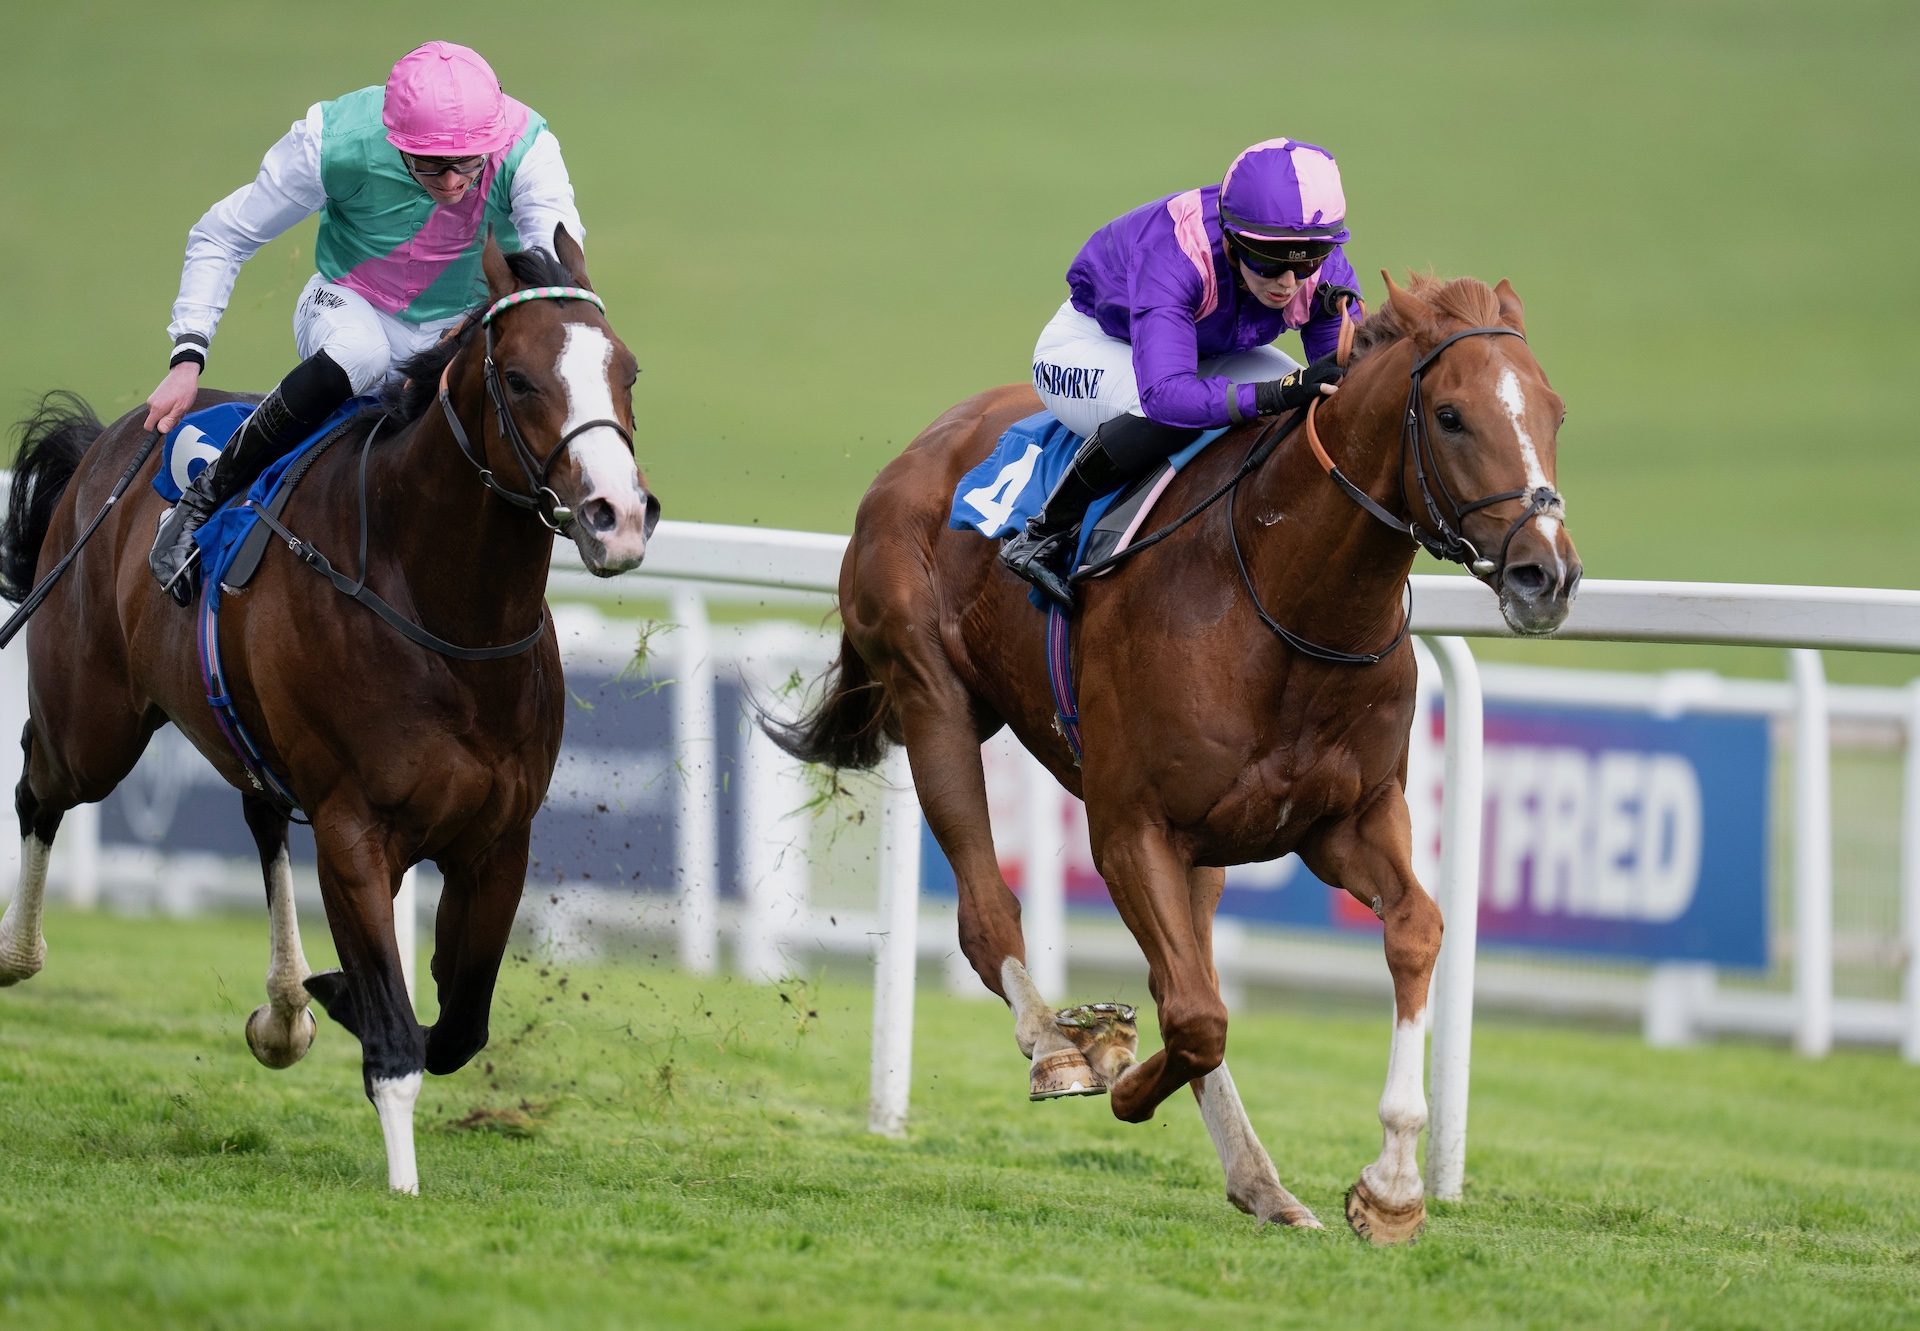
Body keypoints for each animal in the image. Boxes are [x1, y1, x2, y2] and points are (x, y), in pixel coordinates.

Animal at [0, 231, 660, 1190]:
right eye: (522, 378)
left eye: (628, 372)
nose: (618, 517)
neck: (442, 611)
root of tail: (115, 440)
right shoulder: (357, 830)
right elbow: (396, 1038)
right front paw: (403, 1180)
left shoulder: (498, 836)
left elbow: (459, 1024)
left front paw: (331, 996)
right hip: (94, 725)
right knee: (37, 785)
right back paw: (18, 953)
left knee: (260, 813)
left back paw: (284, 1008)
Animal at [771, 274, 1582, 1244]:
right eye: (1453, 416)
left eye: (1555, 411)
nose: (1546, 575)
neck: (1286, 598)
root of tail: (926, 444)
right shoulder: (1131, 826)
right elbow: (1195, 1016)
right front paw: (1118, 1074)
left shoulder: (1346, 817)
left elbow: (1412, 929)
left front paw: (1391, 1185)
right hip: (931, 700)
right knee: (988, 915)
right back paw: (1058, 1047)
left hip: (1204, 842)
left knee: (1181, 966)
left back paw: (1260, 1181)